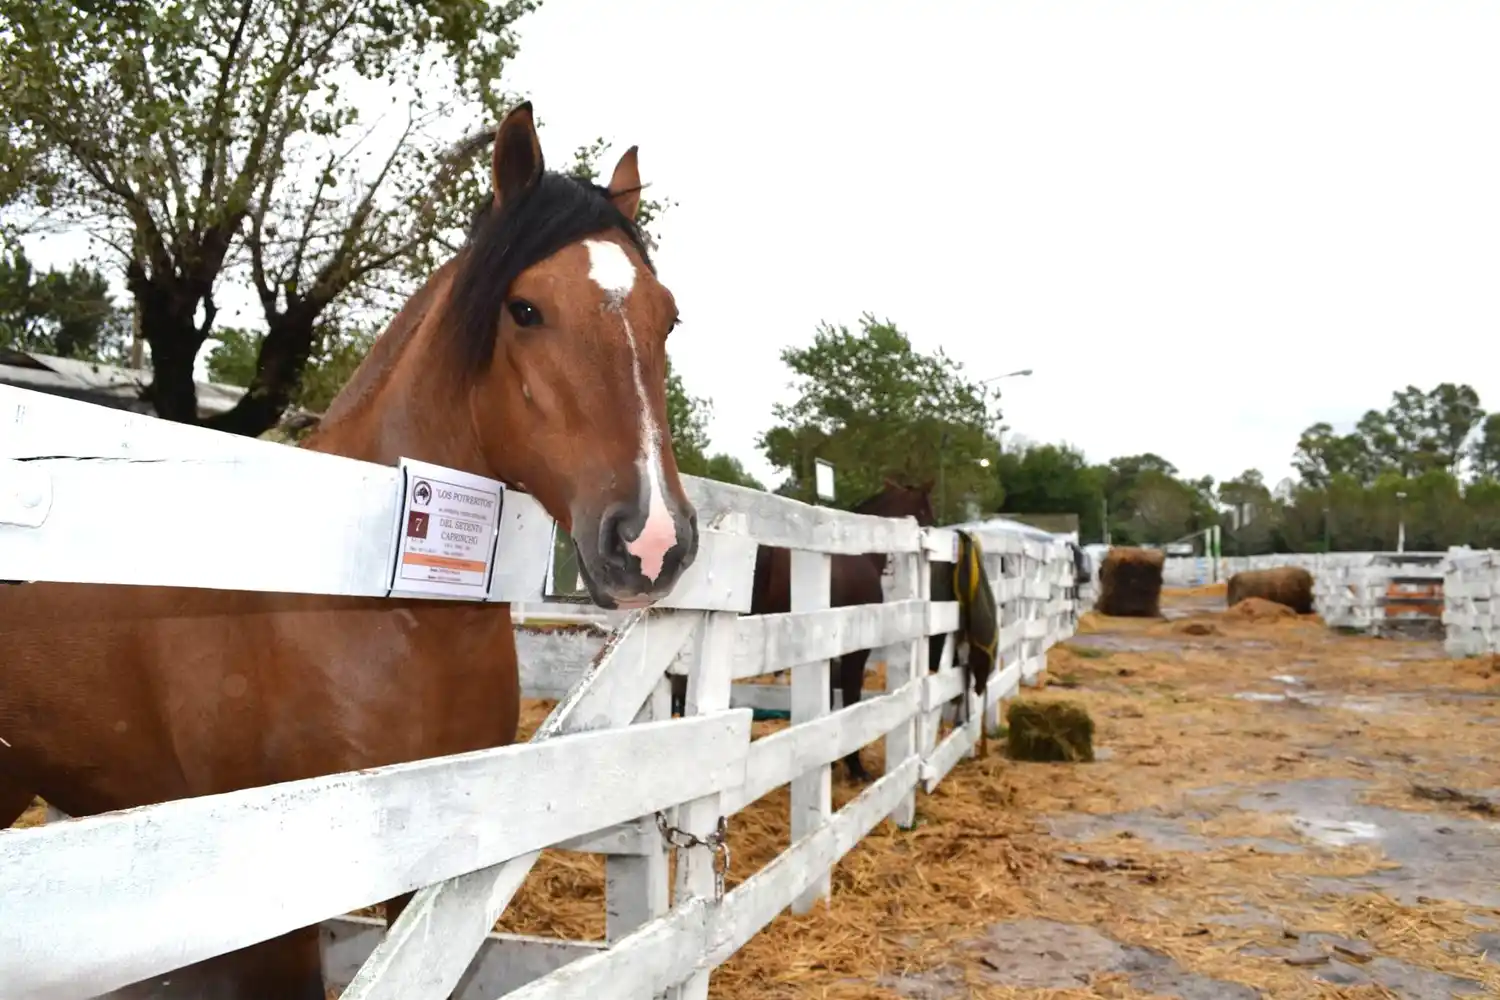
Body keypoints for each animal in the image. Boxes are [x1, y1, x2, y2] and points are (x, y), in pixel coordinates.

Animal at [0, 102, 699, 1000]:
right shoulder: (275, 917)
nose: (652, 539)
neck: (378, 608)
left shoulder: (427, 877)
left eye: (667, 318)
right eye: (525, 309)